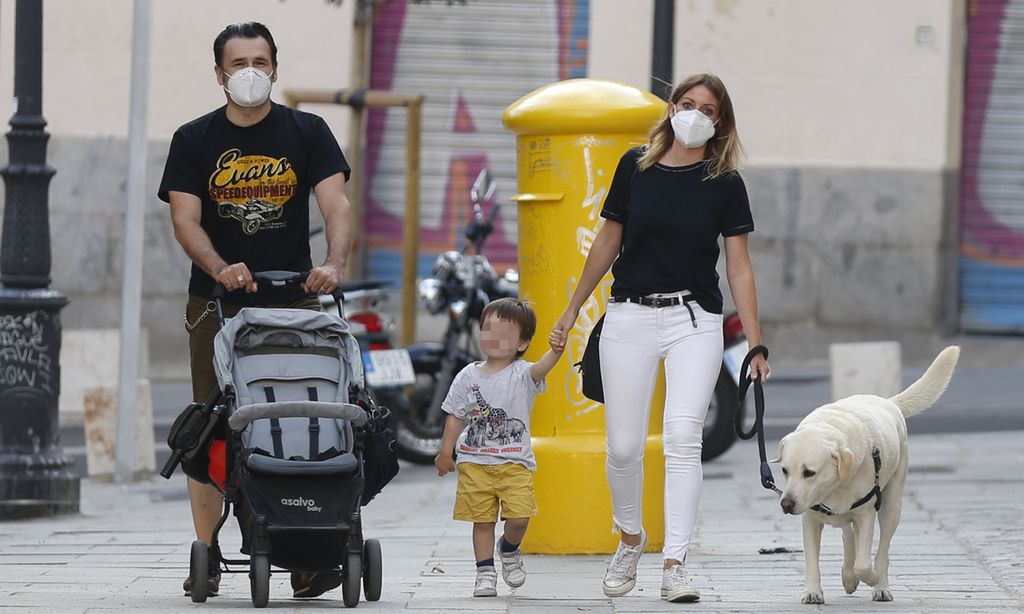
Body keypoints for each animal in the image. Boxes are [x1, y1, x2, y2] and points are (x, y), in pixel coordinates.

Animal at [774, 345, 958, 605]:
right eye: (784, 470)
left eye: (809, 472)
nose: (786, 504)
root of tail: (887, 401)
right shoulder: (810, 518)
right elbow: (812, 560)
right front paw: (812, 592)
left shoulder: (866, 513)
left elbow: (864, 562)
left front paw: (871, 578)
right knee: (848, 535)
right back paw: (848, 575)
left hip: (892, 504)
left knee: (881, 550)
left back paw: (879, 585)